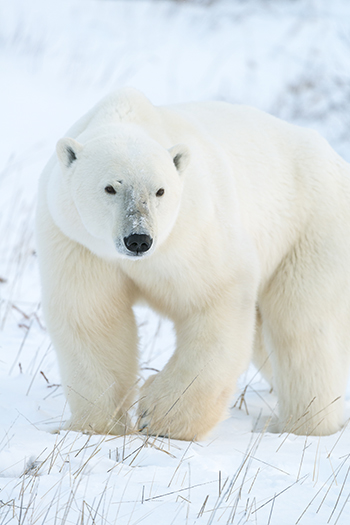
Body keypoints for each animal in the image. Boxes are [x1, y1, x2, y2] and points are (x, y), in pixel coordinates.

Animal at [36, 86, 350, 438]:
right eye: (109, 188)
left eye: (160, 190)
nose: (138, 239)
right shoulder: (78, 243)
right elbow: (93, 319)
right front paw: (97, 426)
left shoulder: (194, 232)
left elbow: (214, 302)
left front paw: (160, 417)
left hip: (311, 226)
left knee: (303, 326)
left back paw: (305, 425)